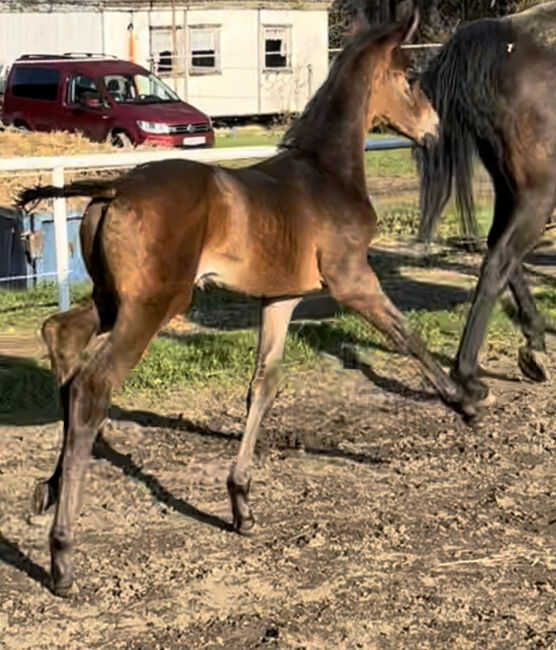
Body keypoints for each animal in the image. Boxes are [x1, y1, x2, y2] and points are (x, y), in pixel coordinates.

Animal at [18, 8, 464, 596]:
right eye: (410, 78)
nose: (435, 131)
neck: (326, 173)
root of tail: (115, 188)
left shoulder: (280, 297)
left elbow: (263, 386)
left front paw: (241, 504)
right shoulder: (350, 279)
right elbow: (405, 334)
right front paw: (467, 400)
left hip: (116, 299)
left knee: (62, 338)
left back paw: (48, 490)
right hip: (153, 305)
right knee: (92, 386)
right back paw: (63, 556)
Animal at [420, 2, 556, 408]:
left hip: (512, 191)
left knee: (499, 251)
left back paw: (534, 342)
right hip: (538, 194)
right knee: (499, 260)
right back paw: (466, 377)